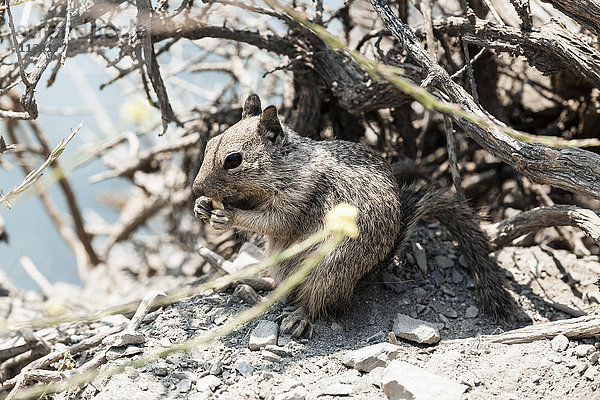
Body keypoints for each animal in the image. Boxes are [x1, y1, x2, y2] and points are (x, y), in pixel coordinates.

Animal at [195, 94, 516, 334]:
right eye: (209, 144)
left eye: (233, 160)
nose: (196, 186)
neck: (288, 166)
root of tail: (360, 279)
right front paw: (202, 206)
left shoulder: (300, 195)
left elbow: (275, 223)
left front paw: (229, 217)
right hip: (281, 261)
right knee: (281, 284)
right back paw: (245, 281)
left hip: (329, 269)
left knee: (316, 301)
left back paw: (299, 317)